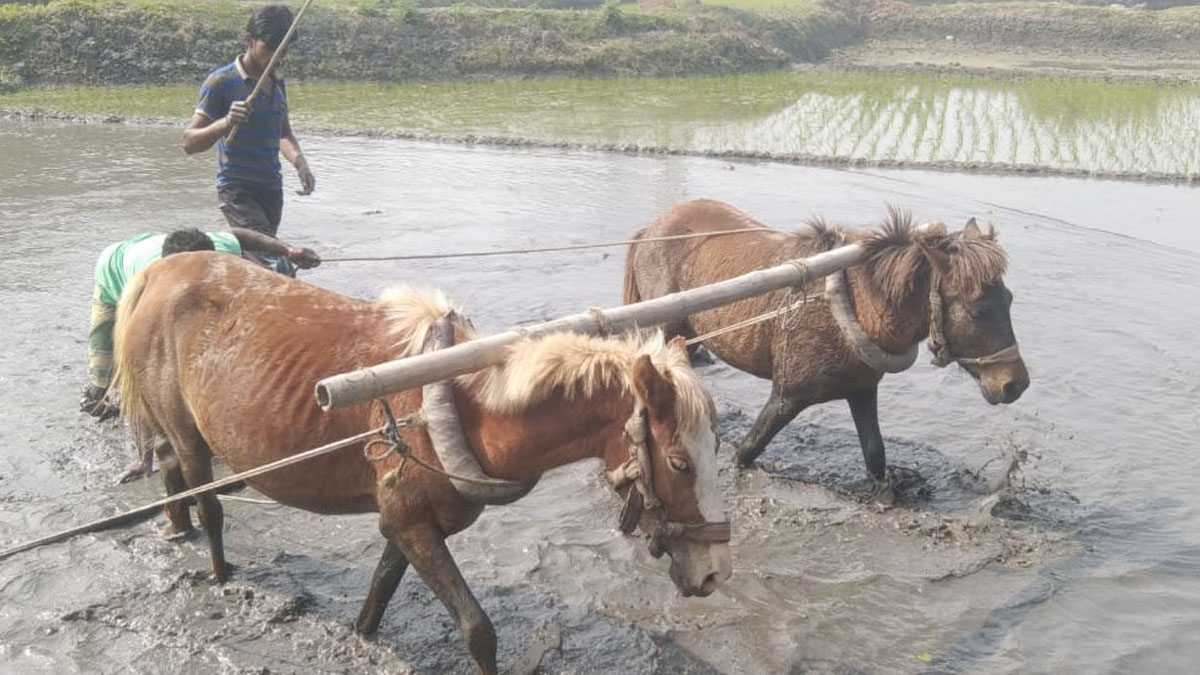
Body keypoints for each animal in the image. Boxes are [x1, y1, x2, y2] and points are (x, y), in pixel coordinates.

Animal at [112, 251, 729, 672]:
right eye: (679, 463)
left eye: (716, 450)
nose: (714, 573)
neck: (456, 410)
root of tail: (162, 269)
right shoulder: (414, 525)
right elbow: (478, 629)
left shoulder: (407, 523)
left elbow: (381, 588)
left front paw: (362, 635)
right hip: (191, 436)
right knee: (206, 500)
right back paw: (219, 572)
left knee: (169, 469)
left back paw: (178, 529)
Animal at [624, 196, 1027, 497]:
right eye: (977, 311)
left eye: (1009, 299)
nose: (1015, 384)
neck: (854, 308)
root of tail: (652, 227)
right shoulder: (786, 397)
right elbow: (747, 452)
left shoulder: (862, 390)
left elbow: (875, 454)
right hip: (663, 327)